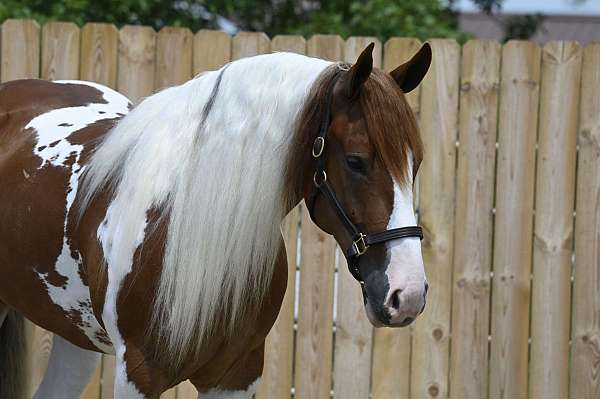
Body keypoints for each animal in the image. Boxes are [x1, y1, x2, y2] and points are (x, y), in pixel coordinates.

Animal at [0, 42, 432, 398]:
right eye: (356, 161)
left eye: (416, 164)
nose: (407, 294)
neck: (185, 228)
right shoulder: (138, 373)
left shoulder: (237, 375)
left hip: (76, 338)